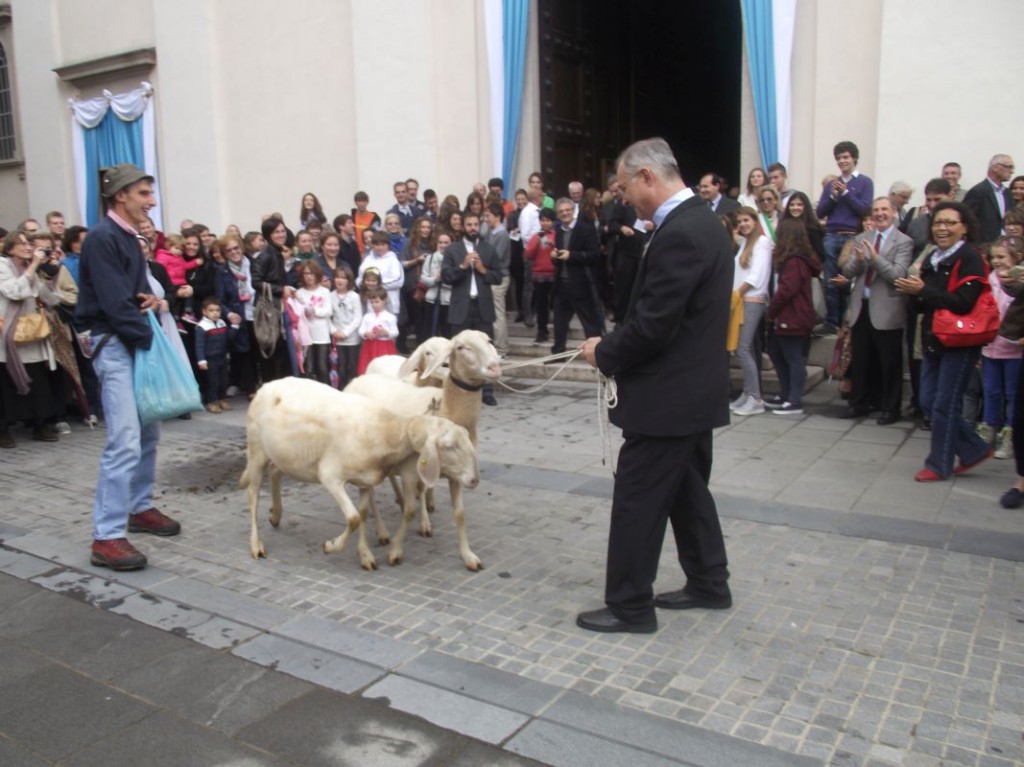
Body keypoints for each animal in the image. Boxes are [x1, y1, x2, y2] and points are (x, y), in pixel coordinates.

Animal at [240, 377, 478, 570]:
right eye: (449, 446)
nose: (475, 480)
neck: (385, 431)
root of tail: (266, 386)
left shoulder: (365, 481)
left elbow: (362, 515)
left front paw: (365, 555)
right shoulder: (330, 477)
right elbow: (353, 518)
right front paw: (331, 546)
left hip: (285, 454)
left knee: (275, 472)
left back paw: (276, 514)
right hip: (256, 450)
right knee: (252, 494)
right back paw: (256, 544)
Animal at [345, 329, 501, 569]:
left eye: (489, 340)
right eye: (460, 347)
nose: (494, 368)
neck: (444, 407)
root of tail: (355, 380)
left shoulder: (457, 472)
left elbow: (459, 514)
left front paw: (468, 556)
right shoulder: (416, 468)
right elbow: (417, 496)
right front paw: (411, 535)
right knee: (369, 496)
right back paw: (382, 531)